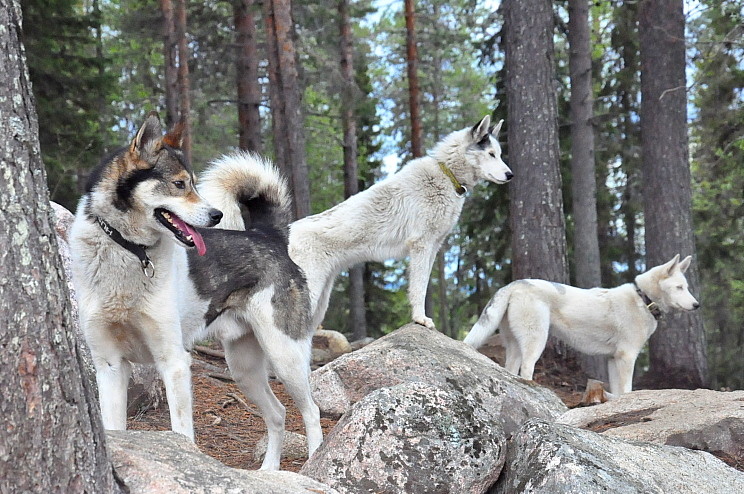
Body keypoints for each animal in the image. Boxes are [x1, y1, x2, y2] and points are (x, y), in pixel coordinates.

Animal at [284, 115, 512, 330]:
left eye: (499, 154)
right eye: (491, 154)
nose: (510, 175)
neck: (447, 175)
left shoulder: (433, 248)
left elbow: (422, 285)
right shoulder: (421, 246)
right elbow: (419, 289)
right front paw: (420, 319)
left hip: (320, 304)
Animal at [462, 256, 700, 396]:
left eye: (686, 287)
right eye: (679, 287)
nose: (697, 305)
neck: (643, 299)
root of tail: (515, 283)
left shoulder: (613, 360)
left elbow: (618, 394)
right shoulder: (627, 357)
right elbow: (627, 390)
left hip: (514, 346)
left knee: (511, 370)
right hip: (536, 341)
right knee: (527, 369)